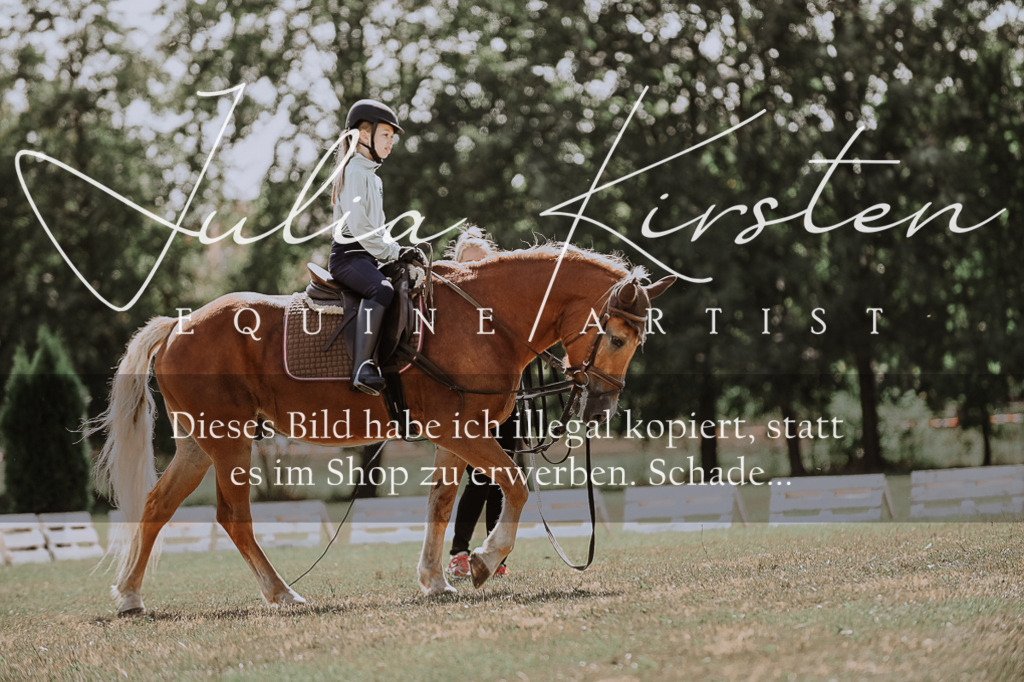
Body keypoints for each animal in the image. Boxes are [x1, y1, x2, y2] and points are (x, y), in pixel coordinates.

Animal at [88, 240, 674, 615]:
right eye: (618, 337)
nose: (600, 409)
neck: (484, 320)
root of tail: (179, 325)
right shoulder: (459, 431)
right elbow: (515, 485)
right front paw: (483, 562)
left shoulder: (458, 435)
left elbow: (441, 501)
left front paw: (436, 581)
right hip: (229, 441)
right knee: (233, 518)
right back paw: (282, 595)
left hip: (199, 443)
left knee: (157, 506)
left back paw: (132, 597)